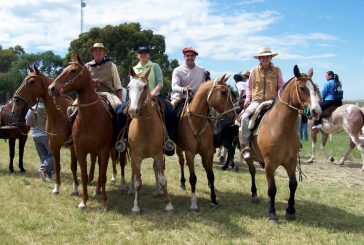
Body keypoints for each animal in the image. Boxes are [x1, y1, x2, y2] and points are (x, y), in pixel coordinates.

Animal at [13, 65, 79, 195]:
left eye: (32, 81)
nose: (16, 99)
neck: (60, 115)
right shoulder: (54, 146)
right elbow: (57, 166)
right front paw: (56, 188)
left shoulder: (72, 146)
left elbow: (73, 166)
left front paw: (75, 189)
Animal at [48, 53, 111, 209]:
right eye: (64, 69)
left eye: (73, 71)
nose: (51, 88)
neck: (90, 118)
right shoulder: (79, 149)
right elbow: (83, 174)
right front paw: (83, 201)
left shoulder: (104, 150)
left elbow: (102, 175)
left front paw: (104, 202)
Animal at [127, 66, 174, 213]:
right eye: (128, 86)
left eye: (145, 86)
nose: (133, 111)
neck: (145, 126)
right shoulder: (135, 155)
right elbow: (138, 181)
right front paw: (136, 206)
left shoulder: (158, 154)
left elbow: (163, 178)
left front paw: (168, 204)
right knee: (133, 172)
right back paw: (130, 190)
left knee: (155, 170)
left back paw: (158, 191)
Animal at [176, 75, 233, 210]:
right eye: (223, 92)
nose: (234, 114)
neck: (197, 123)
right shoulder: (189, 153)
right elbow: (193, 178)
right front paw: (193, 203)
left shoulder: (208, 152)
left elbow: (211, 175)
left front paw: (214, 199)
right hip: (179, 149)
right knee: (181, 163)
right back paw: (182, 183)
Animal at [243, 65, 320, 224]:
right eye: (302, 88)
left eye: (315, 88)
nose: (317, 111)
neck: (280, 128)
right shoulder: (270, 164)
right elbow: (272, 189)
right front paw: (272, 214)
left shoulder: (291, 162)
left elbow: (293, 184)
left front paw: (290, 211)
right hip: (249, 157)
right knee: (252, 172)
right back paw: (254, 195)